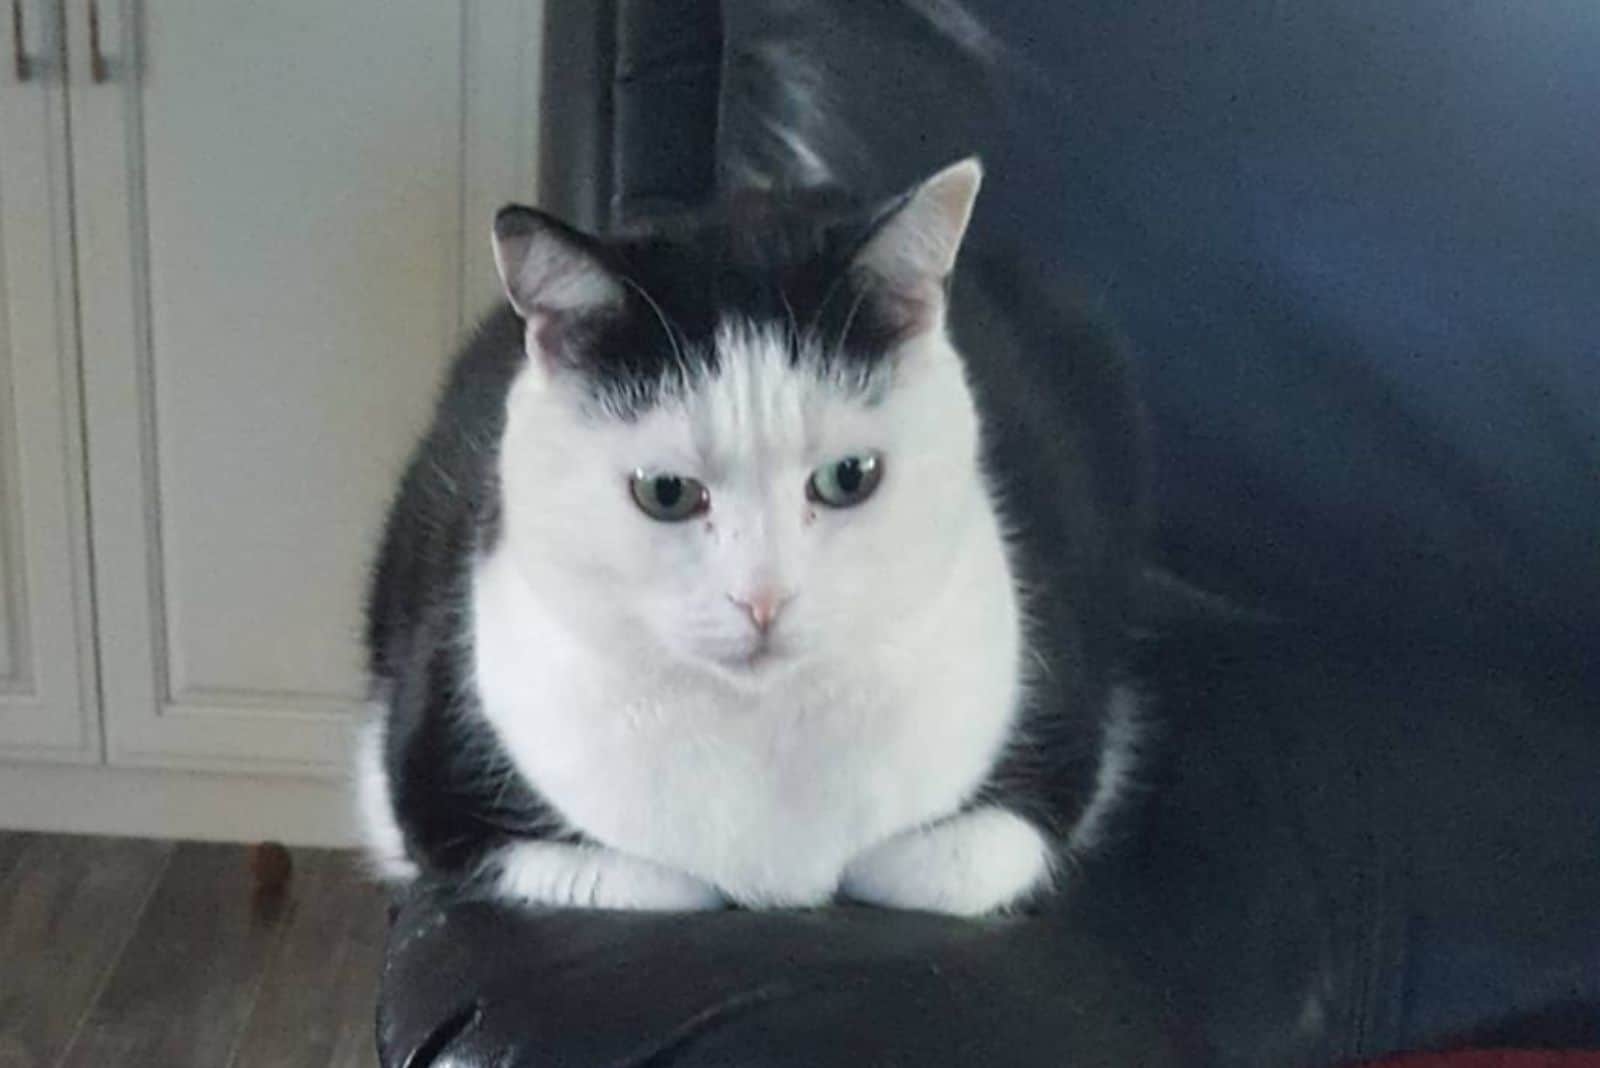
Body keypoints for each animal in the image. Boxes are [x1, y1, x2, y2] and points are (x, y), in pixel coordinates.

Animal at [360, 160, 1152, 920]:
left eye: (848, 477)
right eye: (666, 492)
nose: (763, 600)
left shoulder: (1057, 751)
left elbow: (937, 864)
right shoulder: (431, 783)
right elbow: (663, 878)